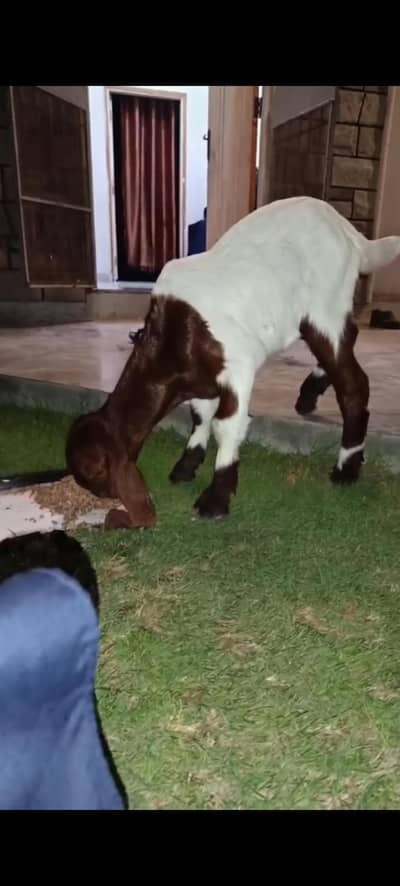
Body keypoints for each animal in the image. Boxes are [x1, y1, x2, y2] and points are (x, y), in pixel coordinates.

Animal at [66, 196, 400, 528]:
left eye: (94, 472)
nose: (104, 495)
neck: (169, 343)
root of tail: (348, 231)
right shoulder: (200, 380)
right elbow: (200, 415)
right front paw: (186, 466)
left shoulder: (238, 363)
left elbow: (226, 425)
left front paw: (216, 499)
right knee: (346, 343)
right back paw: (309, 394)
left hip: (325, 306)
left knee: (352, 380)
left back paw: (346, 468)